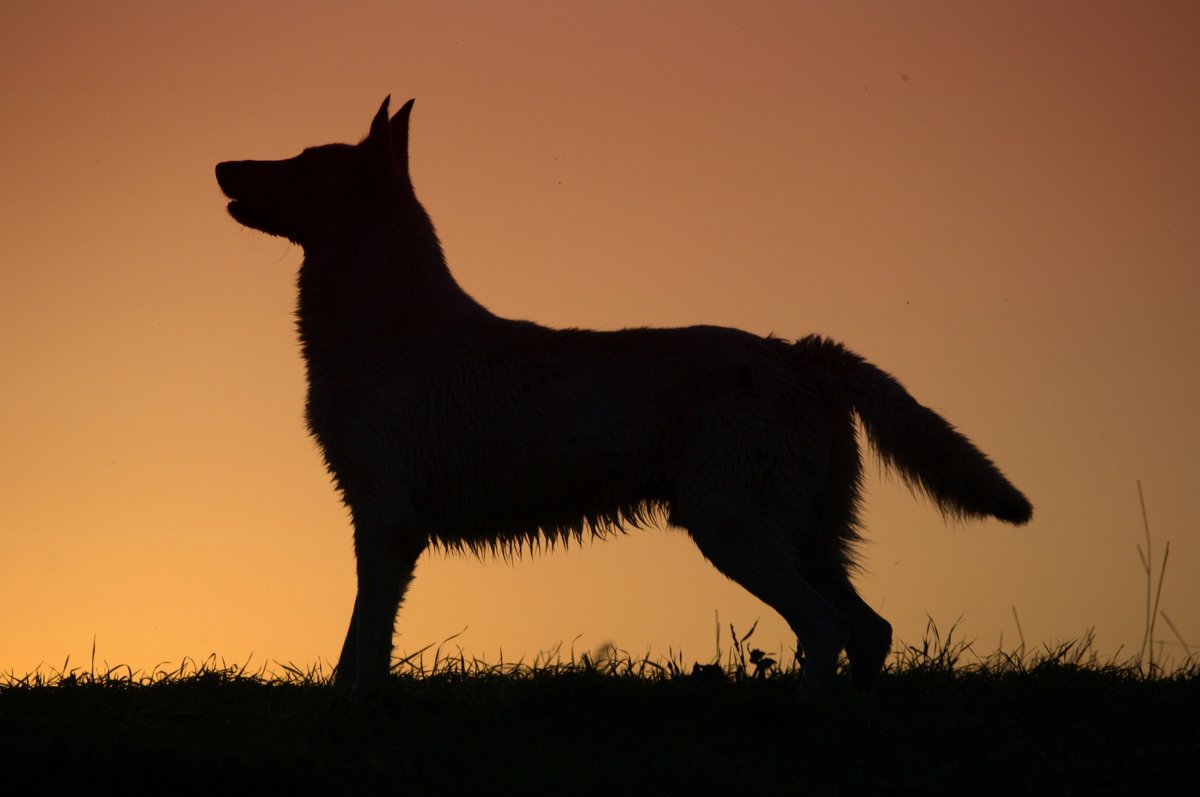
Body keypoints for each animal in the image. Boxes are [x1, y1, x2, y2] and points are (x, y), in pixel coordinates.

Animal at [216, 97, 1032, 696]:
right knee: (868, 629)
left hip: (733, 530)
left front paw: (357, 708)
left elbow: (365, 647)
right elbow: (357, 642)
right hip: (804, 536)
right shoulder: (384, 523)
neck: (387, 323)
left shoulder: (385, 521)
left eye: (301, 163)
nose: (221, 164)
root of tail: (798, 353)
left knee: (824, 628)